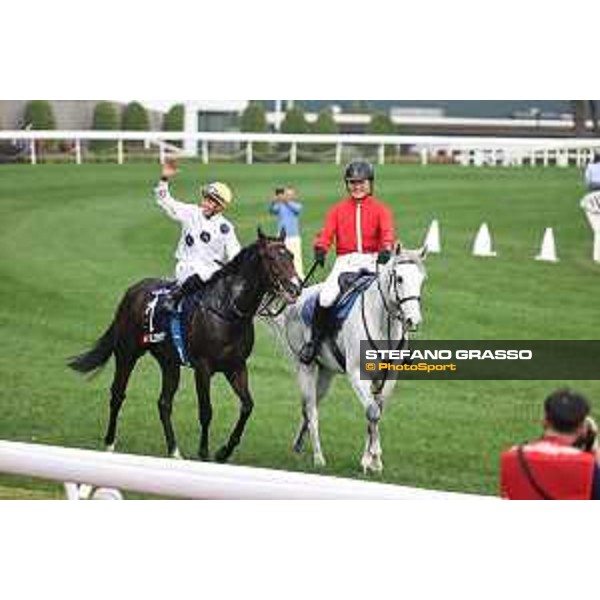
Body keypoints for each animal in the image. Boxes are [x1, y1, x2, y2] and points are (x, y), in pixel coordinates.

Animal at [68, 231, 302, 464]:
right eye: (271, 258)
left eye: (291, 255)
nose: (296, 287)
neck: (227, 310)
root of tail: (132, 291)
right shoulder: (203, 367)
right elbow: (206, 411)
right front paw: (204, 452)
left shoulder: (236, 367)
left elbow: (247, 406)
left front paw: (224, 451)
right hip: (127, 353)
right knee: (118, 394)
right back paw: (109, 443)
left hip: (169, 363)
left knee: (164, 403)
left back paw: (174, 450)